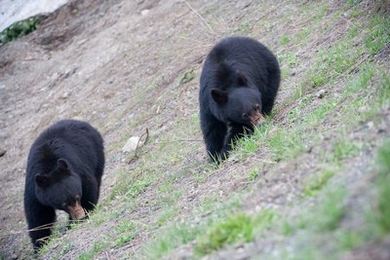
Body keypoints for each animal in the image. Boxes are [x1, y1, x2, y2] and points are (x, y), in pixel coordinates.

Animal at [23, 120, 104, 250]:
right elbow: (38, 216)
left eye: (77, 197)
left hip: (96, 153)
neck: (49, 167)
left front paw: (77, 220)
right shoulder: (34, 190)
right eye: (64, 204)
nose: (80, 215)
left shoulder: (78, 171)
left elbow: (89, 191)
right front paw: (40, 244)